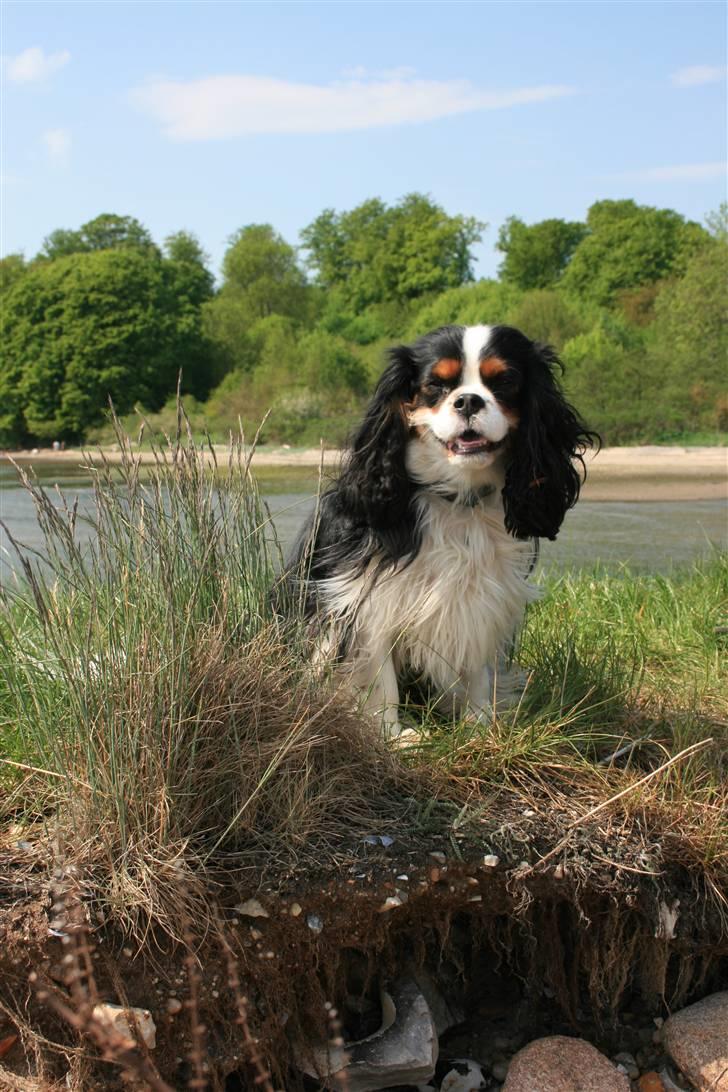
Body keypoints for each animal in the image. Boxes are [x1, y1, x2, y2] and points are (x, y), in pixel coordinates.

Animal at [283, 318, 598, 738]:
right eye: (436, 384)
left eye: (504, 381)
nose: (468, 401)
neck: (456, 498)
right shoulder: (365, 597)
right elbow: (379, 677)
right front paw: (394, 737)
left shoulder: (482, 596)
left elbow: (478, 667)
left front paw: (480, 727)